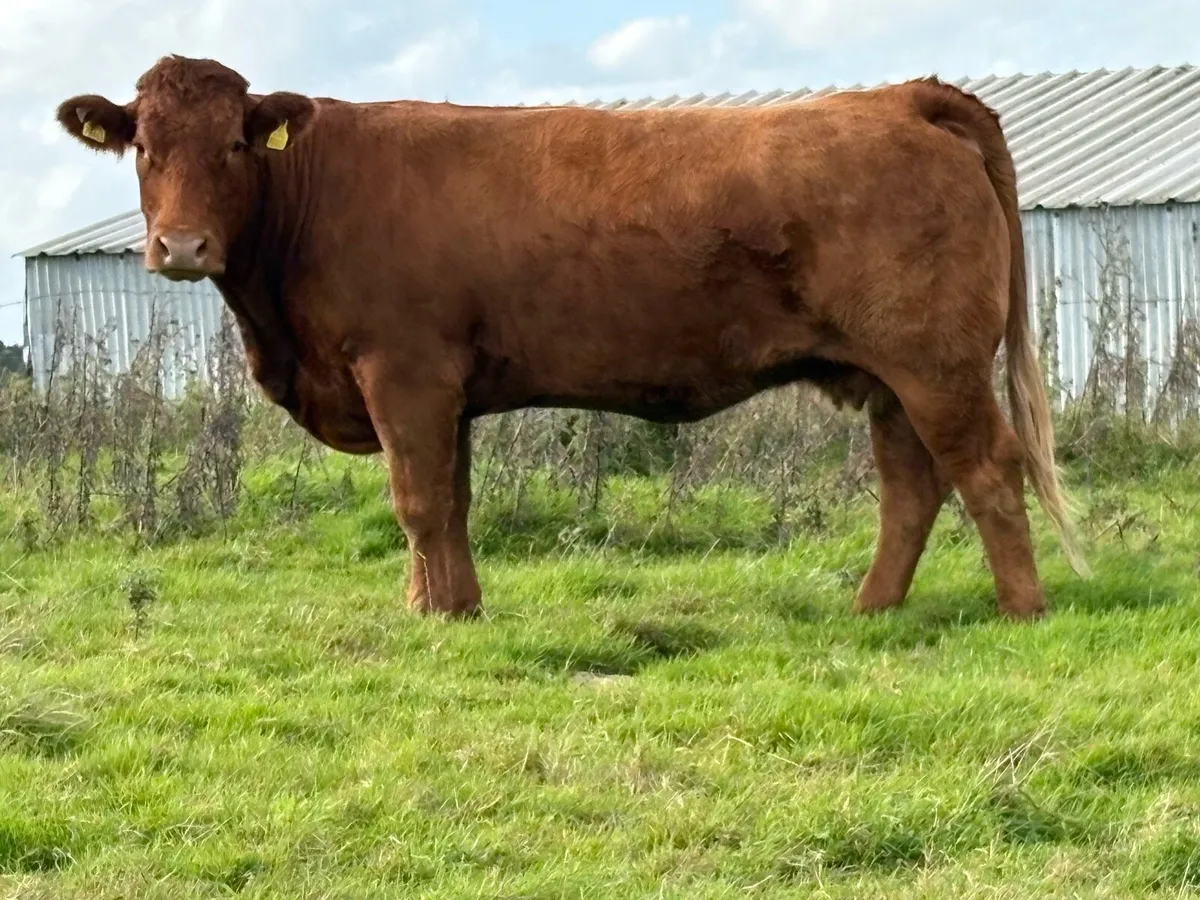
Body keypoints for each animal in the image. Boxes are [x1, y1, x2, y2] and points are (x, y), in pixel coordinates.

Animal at [56, 55, 1088, 622]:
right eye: (144, 146)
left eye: (235, 143)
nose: (181, 247)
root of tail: (901, 98)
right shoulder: (445, 388)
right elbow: (450, 503)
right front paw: (451, 606)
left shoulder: (405, 372)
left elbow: (417, 502)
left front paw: (434, 616)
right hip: (888, 375)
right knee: (913, 486)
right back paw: (871, 610)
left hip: (938, 365)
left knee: (986, 470)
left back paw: (1023, 612)